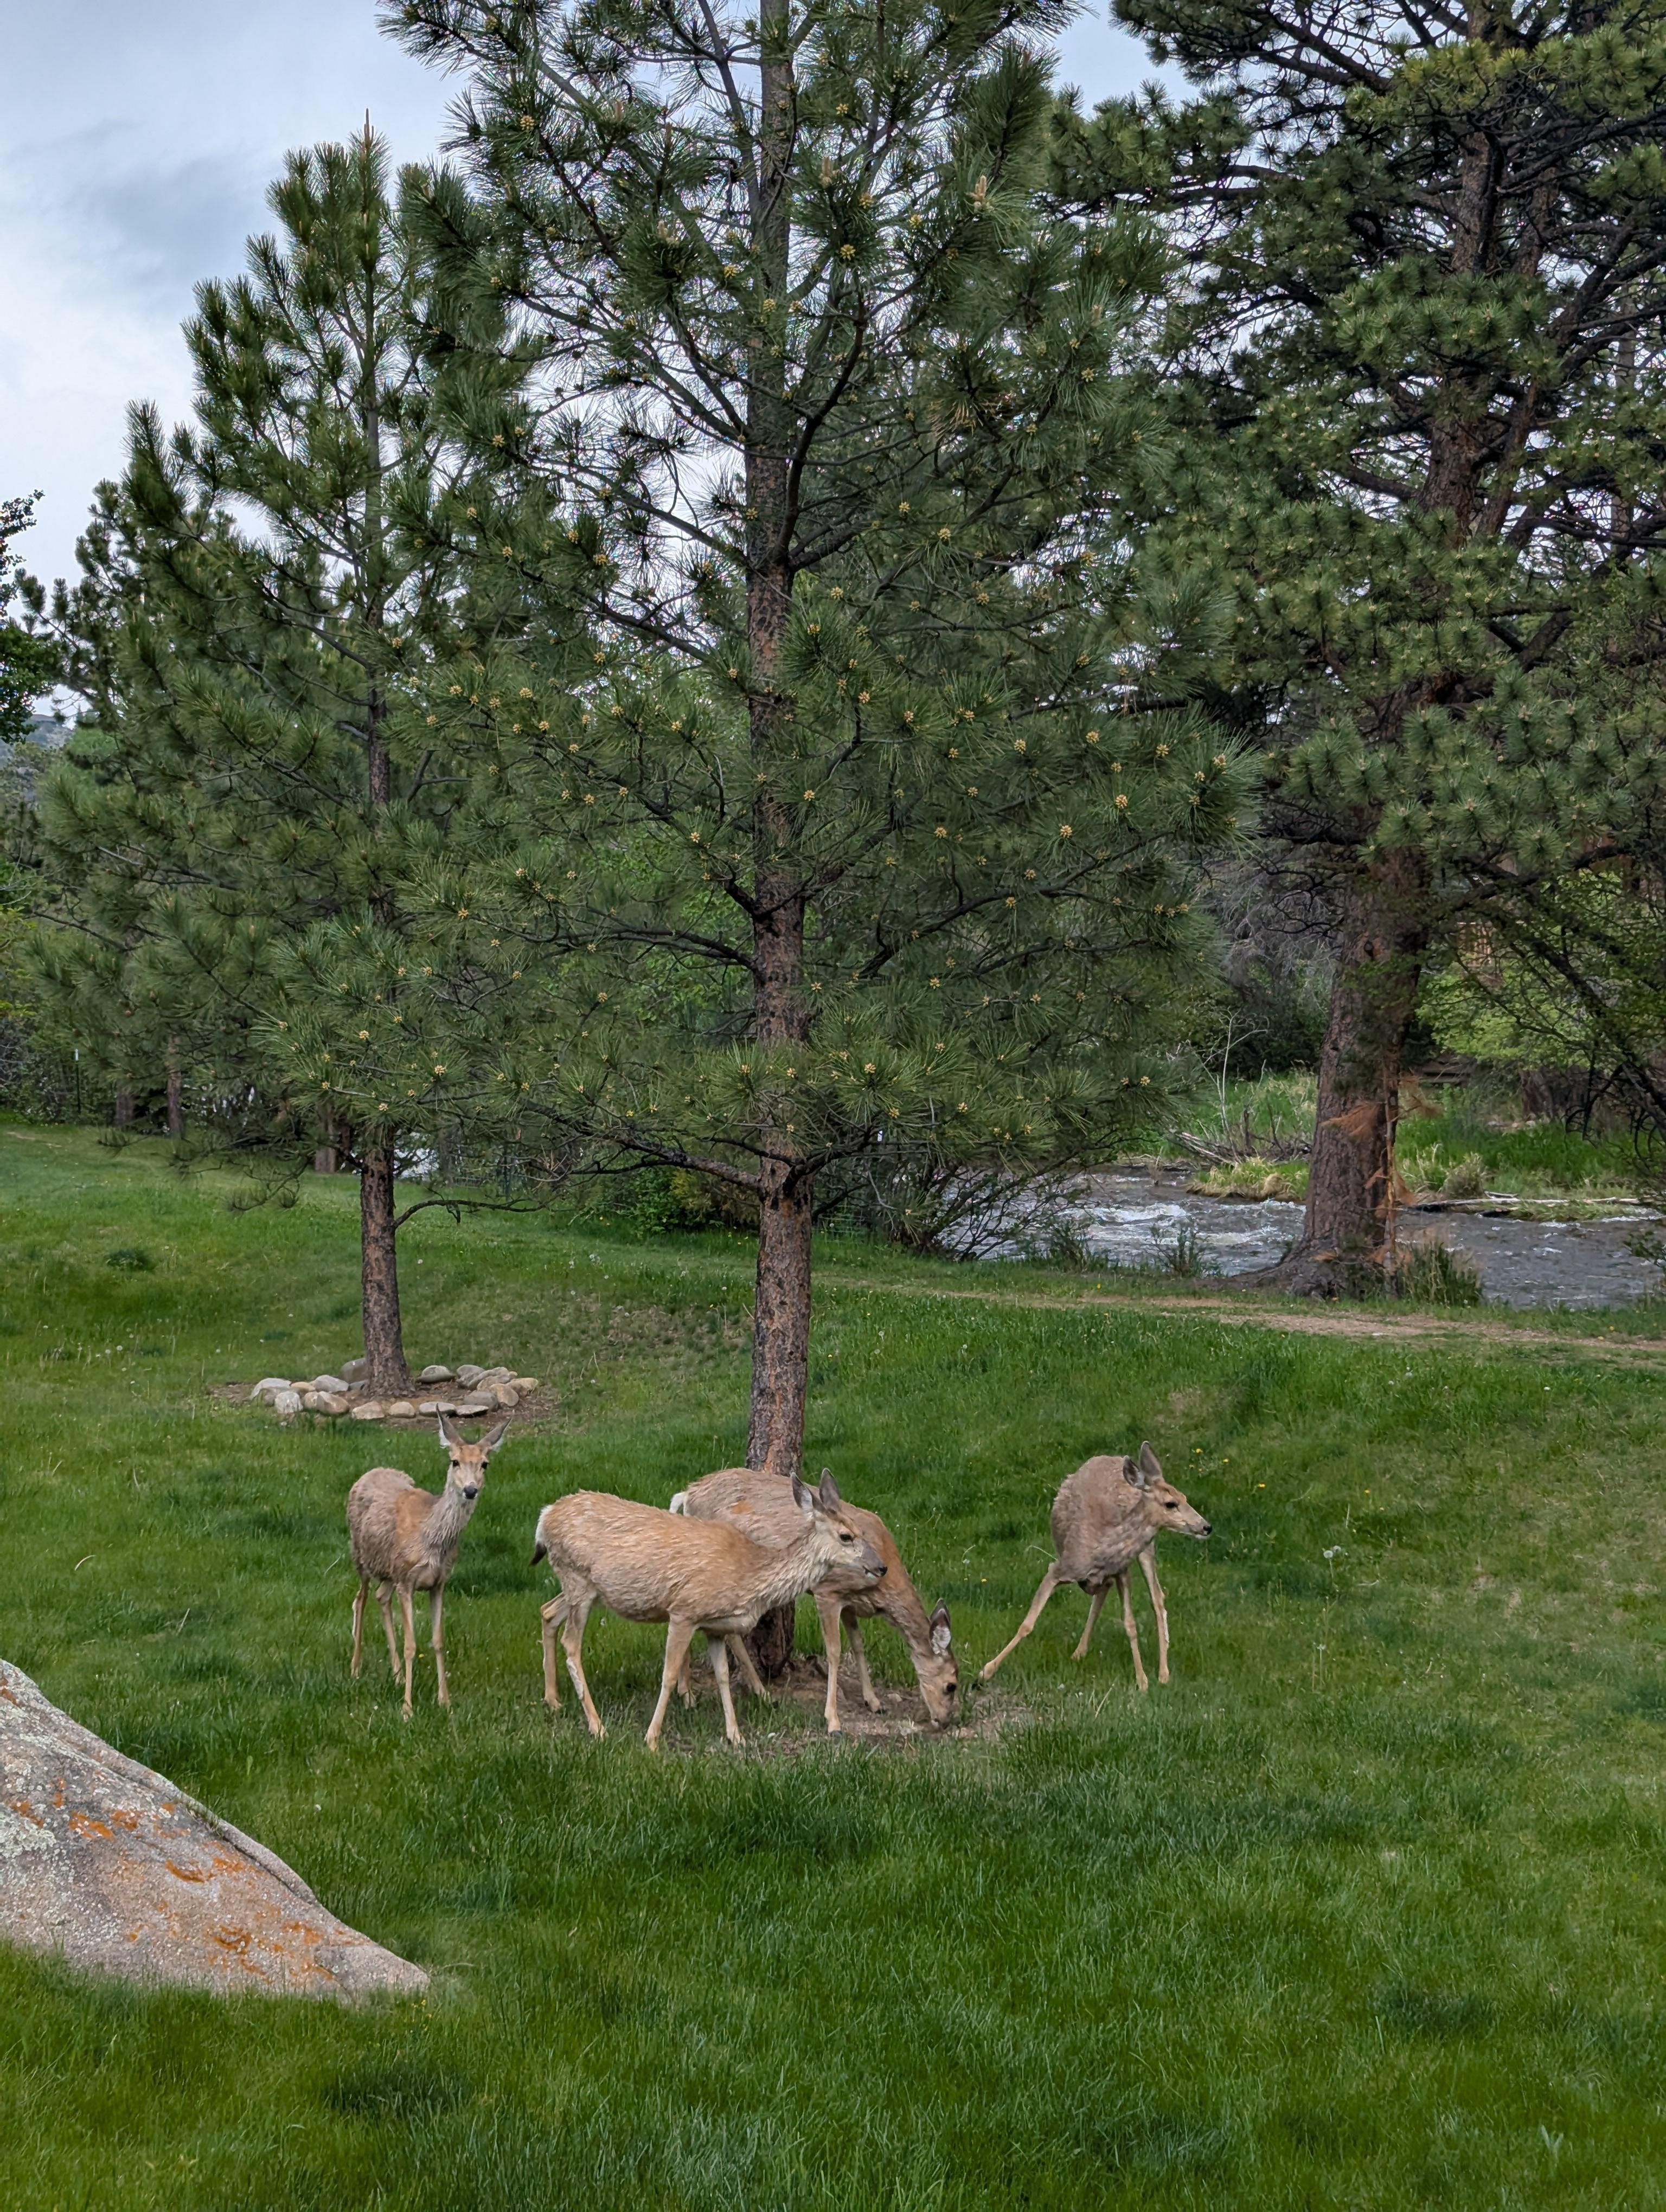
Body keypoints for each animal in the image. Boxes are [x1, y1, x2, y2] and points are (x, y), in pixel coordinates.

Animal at [347, 1413, 509, 1718]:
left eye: (485, 1463)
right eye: (454, 1461)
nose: (471, 1490)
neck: (431, 1538)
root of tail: (370, 1472)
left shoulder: (439, 1582)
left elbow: (438, 1640)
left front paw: (445, 1702)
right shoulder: (406, 1579)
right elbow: (412, 1645)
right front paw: (407, 1709)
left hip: (388, 1570)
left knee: (380, 1596)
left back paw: (398, 1675)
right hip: (361, 1555)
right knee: (360, 1599)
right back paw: (356, 1668)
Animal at [530, 1470, 885, 1750]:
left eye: (862, 1531)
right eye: (846, 1536)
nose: (881, 1567)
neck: (748, 1573)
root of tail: (544, 1517)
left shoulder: (715, 1626)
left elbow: (723, 1676)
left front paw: (736, 1736)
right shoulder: (684, 1610)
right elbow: (669, 1674)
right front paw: (652, 1738)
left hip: (581, 1586)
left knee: (547, 1612)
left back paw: (553, 1700)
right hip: (578, 1579)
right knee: (572, 1645)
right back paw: (597, 1727)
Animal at [671, 1468, 957, 1733]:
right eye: (951, 1686)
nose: (944, 1722)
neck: (880, 1591)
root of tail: (687, 1494)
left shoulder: (850, 1600)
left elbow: (858, 1644)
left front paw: (874, 1702)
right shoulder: (828, 1591)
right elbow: (834, 1651)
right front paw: (833, 1720)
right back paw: (720, 1694)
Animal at [979, 1443, 1210, 1691]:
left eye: (1185, 1497)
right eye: (1171, 1503)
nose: (1207, 1527)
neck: (1101, 1548)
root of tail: (1113, 1457)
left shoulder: (1122, 1571)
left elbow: (1130, 1624)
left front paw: (1142, 1681)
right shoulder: (1060, 1567)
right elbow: (1027, 1624)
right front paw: (986, 1672)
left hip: (1146, 1551)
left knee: (1157, 1598)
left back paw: (1163, 1674)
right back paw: (1079, 1652)